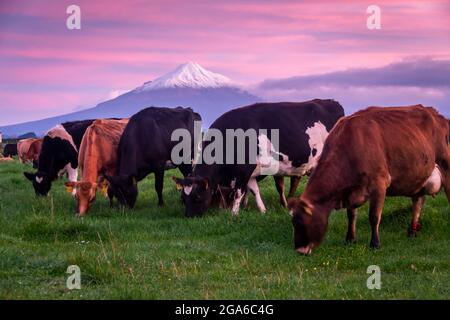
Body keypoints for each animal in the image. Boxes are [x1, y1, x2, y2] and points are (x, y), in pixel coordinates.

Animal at [175, 99, 344, 216]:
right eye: (183, 198)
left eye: (197, 197)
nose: (189, 217)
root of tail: (330, 101)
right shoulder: (250, 172)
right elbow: (254, 190)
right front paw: (262, 210)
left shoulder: (244, 170)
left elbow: (239, 192)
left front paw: (234, 214)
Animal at [288, 105, 450, 255]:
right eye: (293, 222)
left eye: (300, 222)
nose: (299, 251)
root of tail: (439, 116)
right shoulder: (351, 190)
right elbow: (351, 215)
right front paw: (350, 239)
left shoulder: (379, 183)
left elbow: (374, 216)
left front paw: (375, 244)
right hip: (419, 176)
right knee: (418, 201)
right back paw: (411, 232)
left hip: (446, 168)